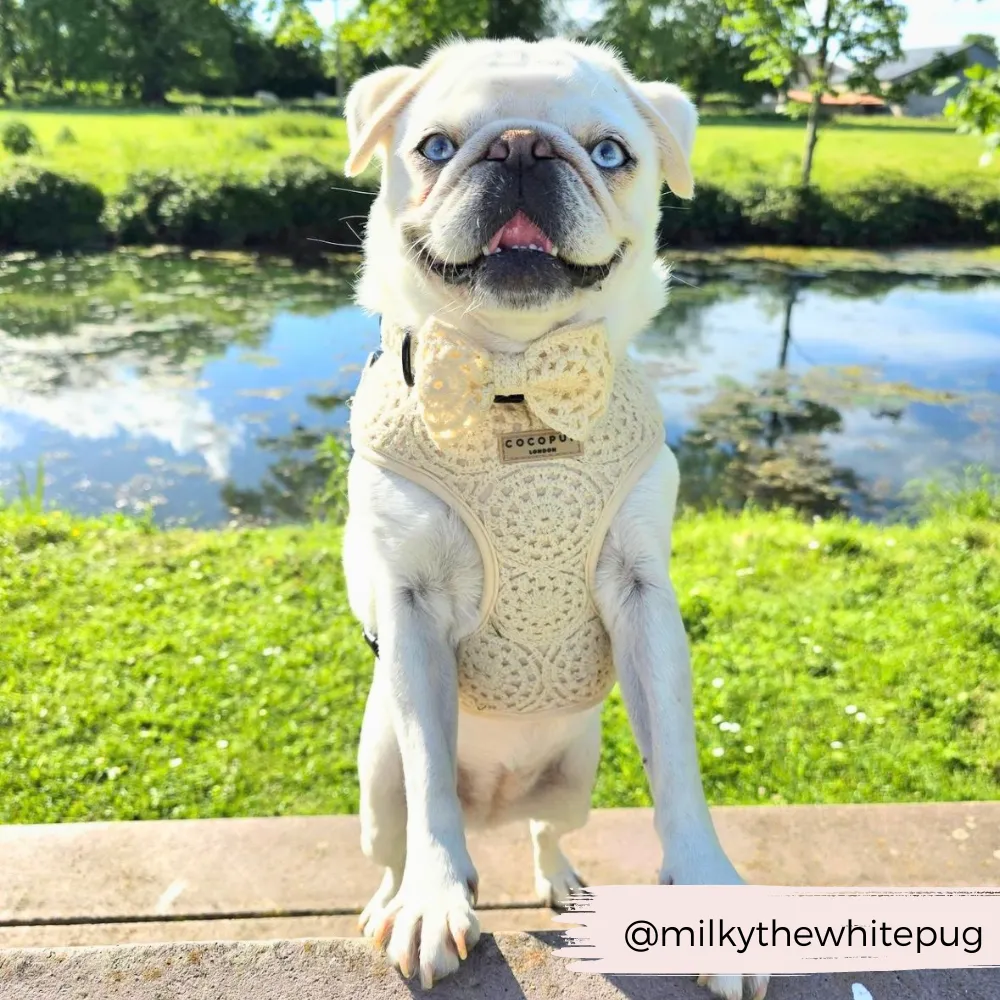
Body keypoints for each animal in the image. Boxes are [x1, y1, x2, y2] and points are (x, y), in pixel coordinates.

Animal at [340, 37, 768, 1000]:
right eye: (434, 147)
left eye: (609, 153)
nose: (523, 147)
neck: (513, 381)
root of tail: (497, 797)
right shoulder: (409, 610)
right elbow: (430, 784)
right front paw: (432, 901)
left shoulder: (645, 600)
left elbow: (678, 769)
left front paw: (710, 894)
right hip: (376, 784)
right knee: (397, 835)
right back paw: (393, 895)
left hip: (575, 777)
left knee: (546, 830)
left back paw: (563, 880)